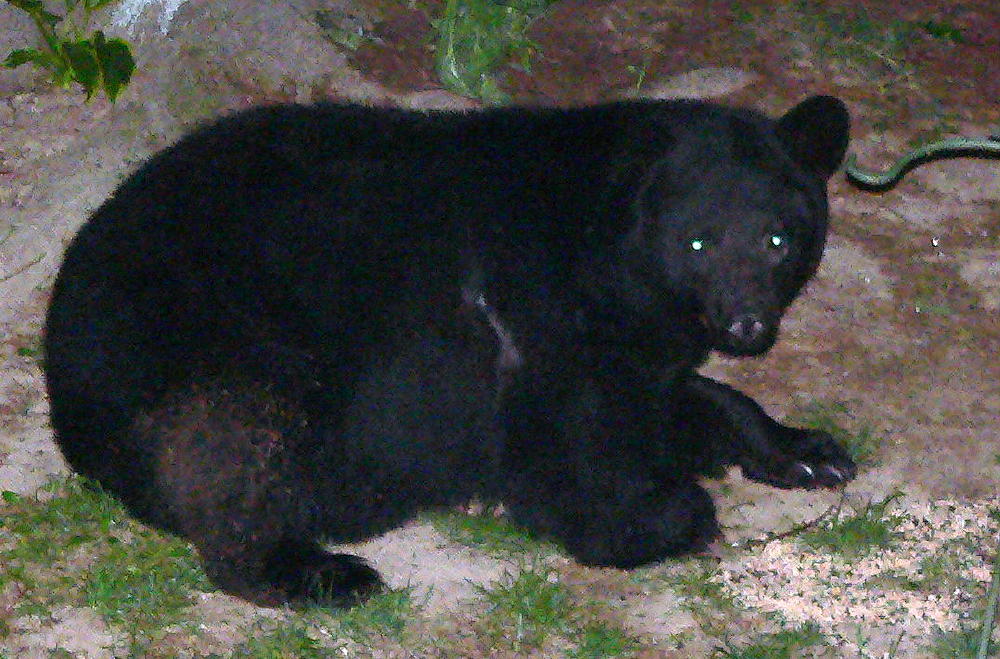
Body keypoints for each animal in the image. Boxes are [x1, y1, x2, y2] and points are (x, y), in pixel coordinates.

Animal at [43, 95, 856, 606]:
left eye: (778, 238)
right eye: (698, 242)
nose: (747, 325)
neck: (606, 243)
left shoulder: (629, 337)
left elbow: (670, 392)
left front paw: (804, 448)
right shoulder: (524, 313)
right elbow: (562, 446)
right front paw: (666, 515)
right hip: (210, 335)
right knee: (235, 446)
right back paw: (319, 572)